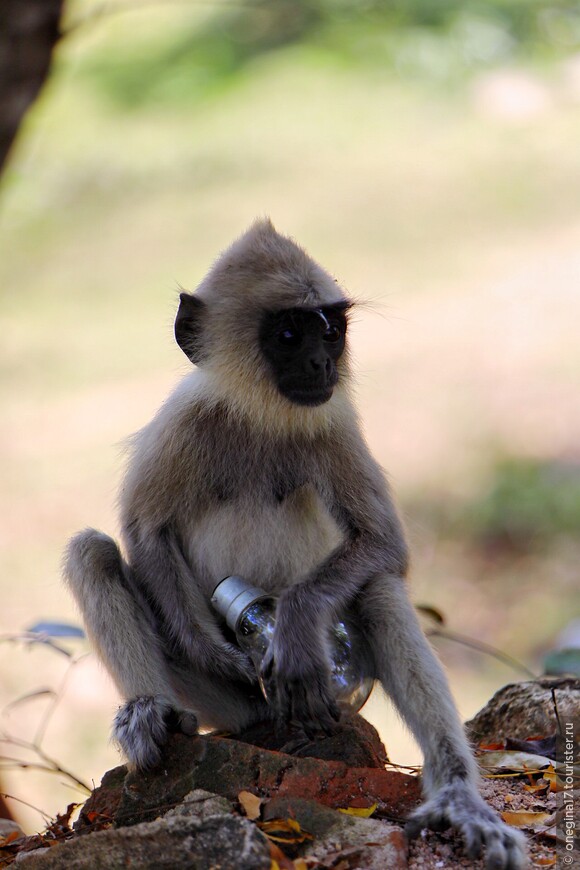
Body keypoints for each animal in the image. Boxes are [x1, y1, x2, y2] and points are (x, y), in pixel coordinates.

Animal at [63, 223, 524, 870]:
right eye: (288, 334)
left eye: (331, 330)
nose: (320, 360)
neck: (263, 416)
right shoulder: (184, 418)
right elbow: (143, 530)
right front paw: (224, 655)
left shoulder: (336, 421)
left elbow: (384, 546)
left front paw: (296, 625)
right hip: (229, 709)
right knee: (93, 552)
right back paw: (155, 713)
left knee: (379, 588)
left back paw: (457, 793)